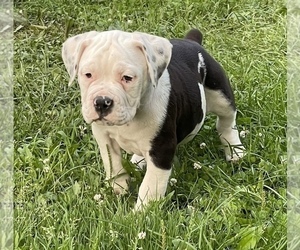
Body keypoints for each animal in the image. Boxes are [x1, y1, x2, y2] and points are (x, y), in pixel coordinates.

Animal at [62, 28, 245, 210]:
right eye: (88, 75)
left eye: (127, 78)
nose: (101, 102)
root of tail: (192, 41)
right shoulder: (104, 136)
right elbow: (112, 164)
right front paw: (119, 187)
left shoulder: (161, 149)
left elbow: (150, 185)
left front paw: (143, 212)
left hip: (219, 93)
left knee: (226, 122)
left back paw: (235, 151)